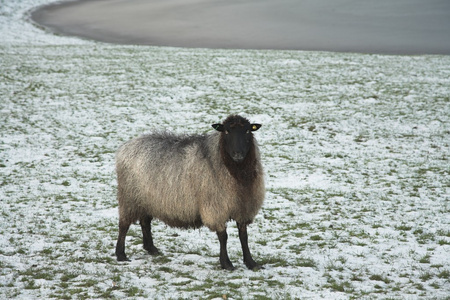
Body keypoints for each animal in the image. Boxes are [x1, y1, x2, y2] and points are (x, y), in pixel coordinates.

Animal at [114, 114, 266, 270]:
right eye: (227, 131)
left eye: (247, 131)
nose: (238, 154)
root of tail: (126, 146)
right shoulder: (215, 208)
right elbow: (223, 236)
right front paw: (226, 263)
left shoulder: (244, 207)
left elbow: (244, 236)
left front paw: (251, 263)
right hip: (129, 197)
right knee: (123, 225)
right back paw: (121, 255)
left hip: (146, 199)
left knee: (145, 222)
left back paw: (151, 248)